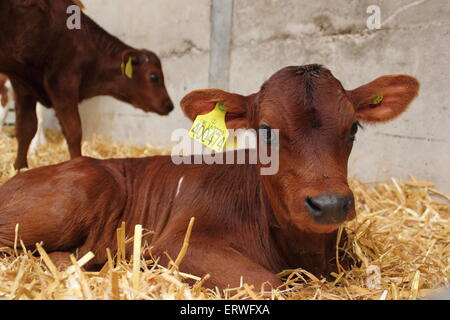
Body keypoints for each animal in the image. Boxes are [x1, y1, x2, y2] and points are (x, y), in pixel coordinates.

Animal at [0, 0, 172, 170]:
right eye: (154, 76)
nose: (169, 105)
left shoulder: (23, 83)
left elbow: (25, 127)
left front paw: (19, 167)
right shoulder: (62, 81)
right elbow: (73, 131)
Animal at [0, 65, 418, 290]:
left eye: (353, 128)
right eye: (265, 131)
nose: (330, 204)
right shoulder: (177, 244)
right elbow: (267, 283)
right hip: (85, 187)